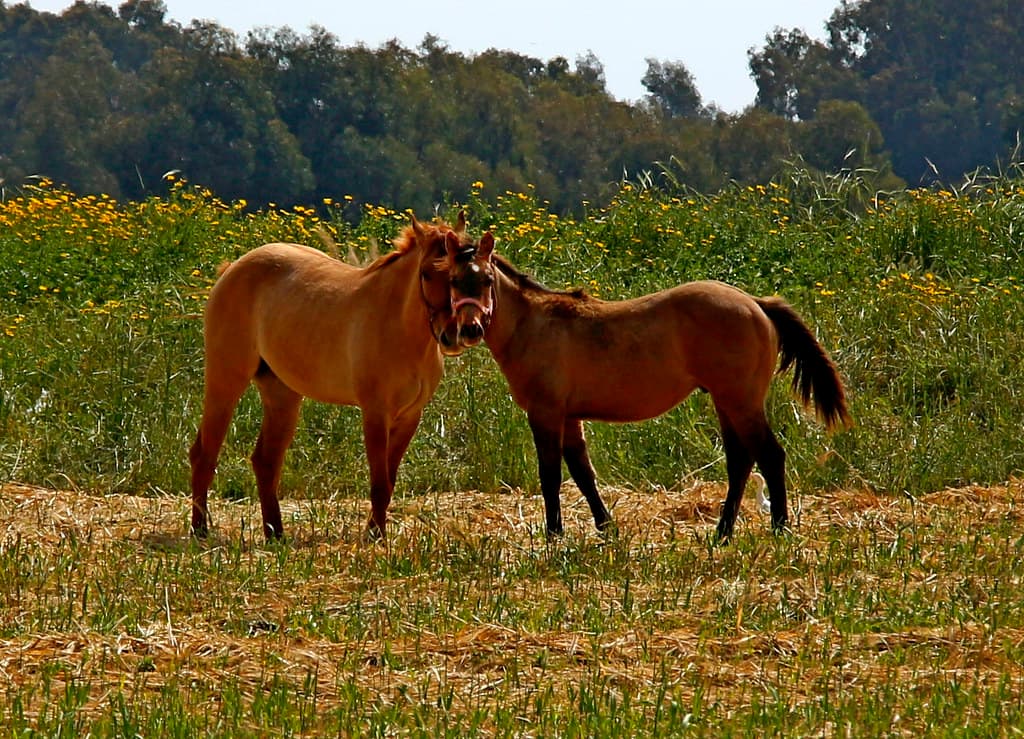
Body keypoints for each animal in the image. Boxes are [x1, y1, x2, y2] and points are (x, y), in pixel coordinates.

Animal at [189, 213, 488, 541]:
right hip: (225, 381)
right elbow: (380, 483)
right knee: (204, 454)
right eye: (426, 274)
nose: (455, 334)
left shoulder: (410, 416)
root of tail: (233, 268)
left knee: (265, 461)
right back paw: (200, 530)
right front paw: (375, 536)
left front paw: (376, 531)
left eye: (477, 277)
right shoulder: (375, 414)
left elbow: (390, 480)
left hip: (281, 394)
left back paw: (276, 534)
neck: (401, 329)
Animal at [441, 235, 851, 540]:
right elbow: (583, 473)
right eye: (454, 281)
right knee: (740, 461)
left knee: (769, 455)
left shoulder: (546, 413)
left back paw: (778, 528)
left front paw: (555, 534)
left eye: (487, 280)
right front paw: (606, 527)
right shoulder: (569, 417)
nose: (469, 330)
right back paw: (722, 532)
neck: (534, 324)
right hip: (728, 402)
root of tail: (756, 302)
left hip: (740, 402)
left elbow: (551, 474)